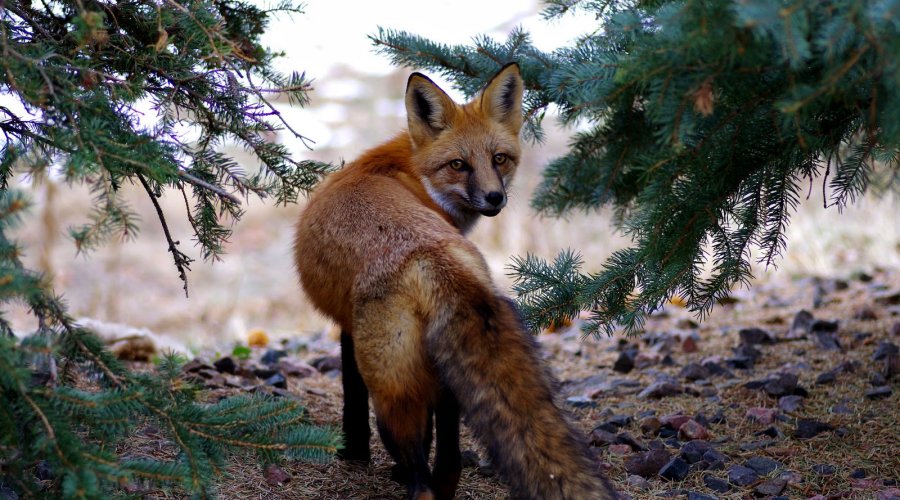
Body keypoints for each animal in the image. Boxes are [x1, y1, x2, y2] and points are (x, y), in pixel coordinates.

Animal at [296, 63, 620, 500]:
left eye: (498, 159)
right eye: (458, 164)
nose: (494, 198)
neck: (410, 171)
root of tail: (432, 258)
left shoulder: (346, 327)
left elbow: (352, 400)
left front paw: (354, 455)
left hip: (393, 392)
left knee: (419, 472)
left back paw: (411, 480)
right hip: (445, 382)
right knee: (448, 458)